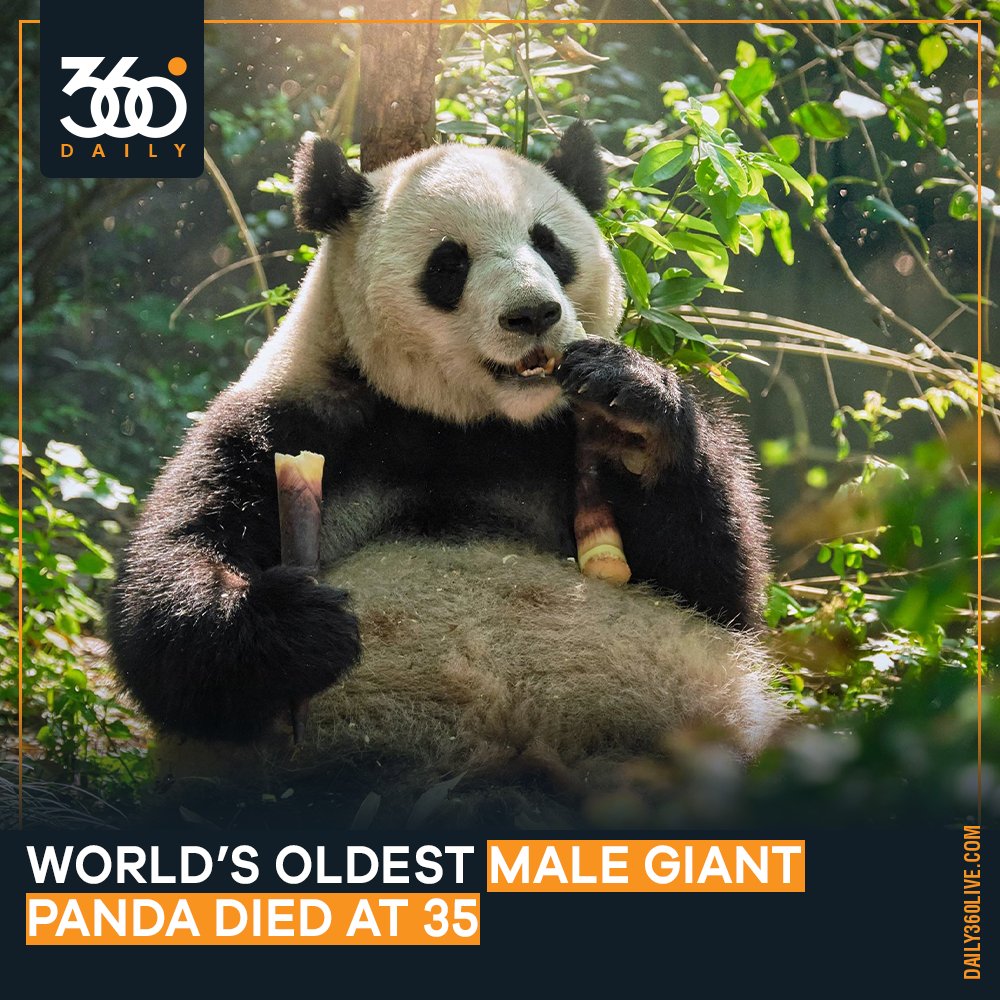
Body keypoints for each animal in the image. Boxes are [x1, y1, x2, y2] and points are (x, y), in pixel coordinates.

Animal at [107, 124, 785, 824]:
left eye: (549, 244)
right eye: (449, 263)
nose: (533, 315)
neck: (464, 422)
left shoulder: (556, 441)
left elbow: (714, 586)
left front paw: (630, 413)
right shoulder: (286, 425)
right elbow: (166, 598)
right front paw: (299, 625)